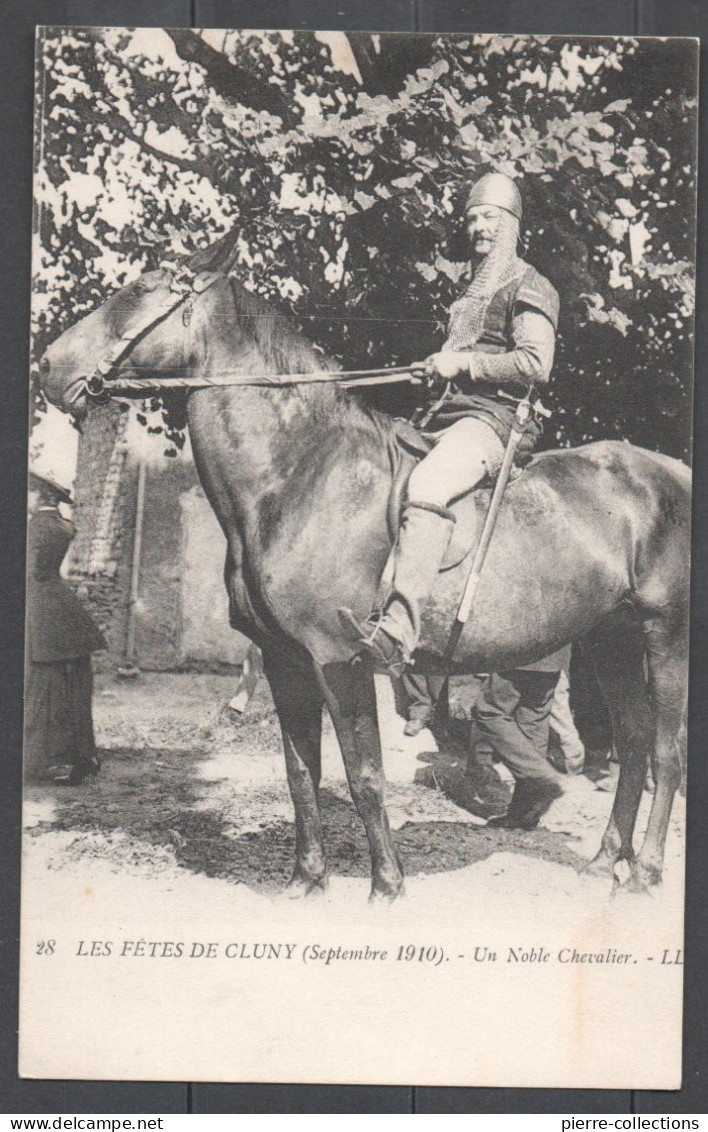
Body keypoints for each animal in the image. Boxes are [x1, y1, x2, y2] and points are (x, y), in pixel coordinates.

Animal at [39, 267, 688, 901]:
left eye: (139, 290)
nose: (48, 367)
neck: (300, 474)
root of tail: (673, 472)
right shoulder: (285, 659)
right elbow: (301, 771)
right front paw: (306, 880)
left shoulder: (340, 658)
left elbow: (365, 774)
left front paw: (387, 888)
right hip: (612, 638)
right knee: (633, 744)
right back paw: (603, 863)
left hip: (665, 637)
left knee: (665, 752)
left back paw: (645, 874)